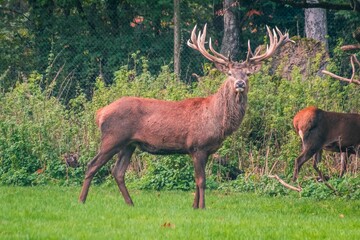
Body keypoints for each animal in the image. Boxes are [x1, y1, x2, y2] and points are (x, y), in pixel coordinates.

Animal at [79, 24, 292, 208]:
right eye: (230, 73)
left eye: (248, 74)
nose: (240, 83)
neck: (217, 119)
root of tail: (100, 113)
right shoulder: (197, 145)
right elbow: (202, 180)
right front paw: (203, 207)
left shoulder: (204, 150)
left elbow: (197, 181)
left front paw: (194, 206)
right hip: (113, 138)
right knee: (92, 165)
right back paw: (81, 201)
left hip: (129, 144)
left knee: (118, 172)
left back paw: (130, 203)